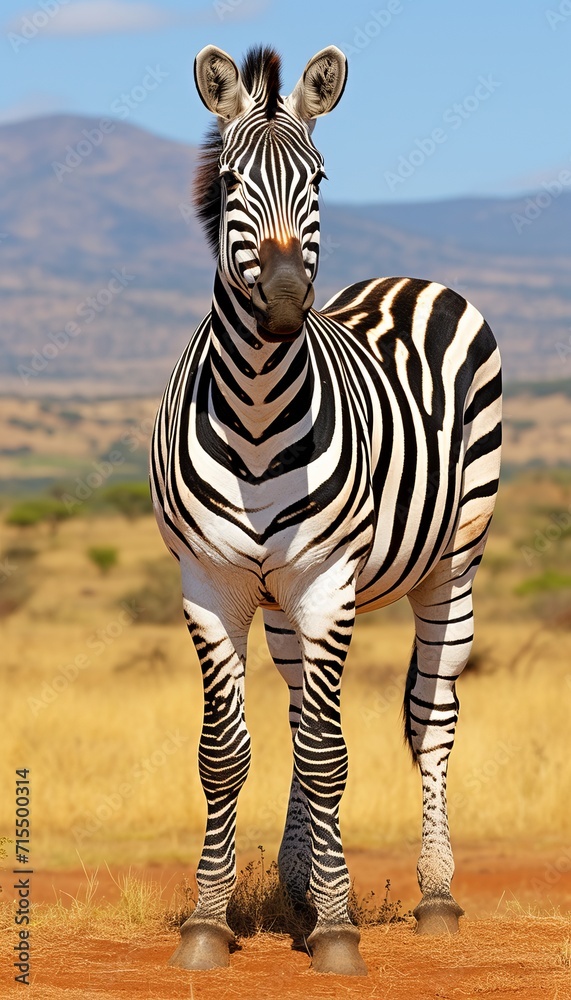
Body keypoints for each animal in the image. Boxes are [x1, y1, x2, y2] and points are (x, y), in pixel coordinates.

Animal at [151, 44, 501, 976]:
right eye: (229, 180)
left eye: (317, 178)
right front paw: (211, 920)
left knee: (431, 721)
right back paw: (302, 884)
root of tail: (407, 278)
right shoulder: (210, 583)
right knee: (300, 707)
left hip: (450, 568)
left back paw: (434, 896)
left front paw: (339, 929)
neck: (256, 410)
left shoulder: (326, 581)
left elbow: (326, 753)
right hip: (282, 603)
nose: (281, 303)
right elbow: (225, 753)